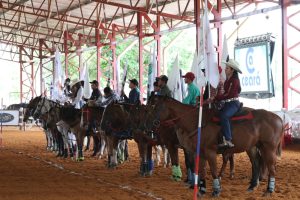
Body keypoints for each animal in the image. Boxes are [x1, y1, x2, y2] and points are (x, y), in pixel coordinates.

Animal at [143, 95, 284, 197]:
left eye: (155, 106)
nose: (148, 126)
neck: (197, 122)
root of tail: (278, 118)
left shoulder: (209, 152)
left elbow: (213, 171)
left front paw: (216, 190)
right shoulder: (199, 152)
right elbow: (201, 170)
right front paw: (201, 189)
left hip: (268, 148)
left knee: (272, 169)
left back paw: (269, 191)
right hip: (253, 147)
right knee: (256, 163)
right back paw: (252, 186)